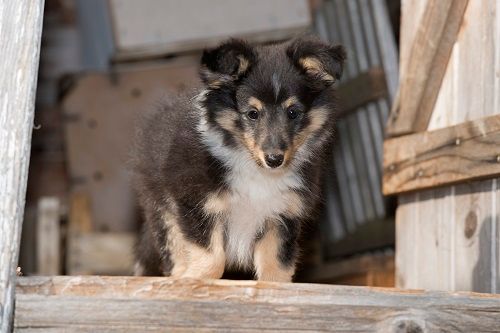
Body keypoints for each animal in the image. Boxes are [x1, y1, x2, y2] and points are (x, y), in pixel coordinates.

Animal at [131, 36, 346, 280]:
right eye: (252, 113)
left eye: (293, 112)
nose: (274, 159)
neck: (256, 170)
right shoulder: (195, 202)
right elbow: (212, 257)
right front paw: (194, 279)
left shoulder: (283, 214)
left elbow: (276, 267)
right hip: (160, 206)